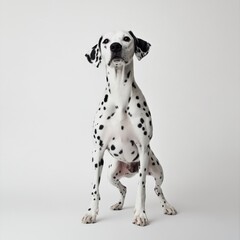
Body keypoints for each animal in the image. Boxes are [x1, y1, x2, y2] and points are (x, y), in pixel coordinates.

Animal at [81, 31, 177, 226]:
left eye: (126, 38)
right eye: (106, 41)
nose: (115, 46)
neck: (120, 95)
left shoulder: (143, 149)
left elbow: (142, 188)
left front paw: (140, 214)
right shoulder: (98, 151)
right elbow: (95, 188)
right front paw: (91, 213)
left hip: (157, 169)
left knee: (157, 189)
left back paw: (167, 206)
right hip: (111, 172)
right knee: (123, 188)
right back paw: (118, 204)